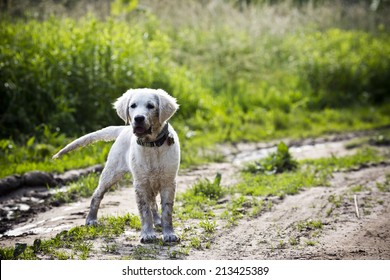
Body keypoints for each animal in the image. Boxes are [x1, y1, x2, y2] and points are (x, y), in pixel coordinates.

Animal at [52, 88, 181, 243]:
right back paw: (91, 219)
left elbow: (167, 211)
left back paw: (157, 221)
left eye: (151, 106)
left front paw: (168, 233)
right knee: (97, 195)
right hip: (112, 173)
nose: (138, 118)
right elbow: (144, 211)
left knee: (153, 203)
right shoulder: (140, 183)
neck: (152, 145)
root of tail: (123, 130)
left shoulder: (168, 181)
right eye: (133, 106)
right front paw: (147, 234)